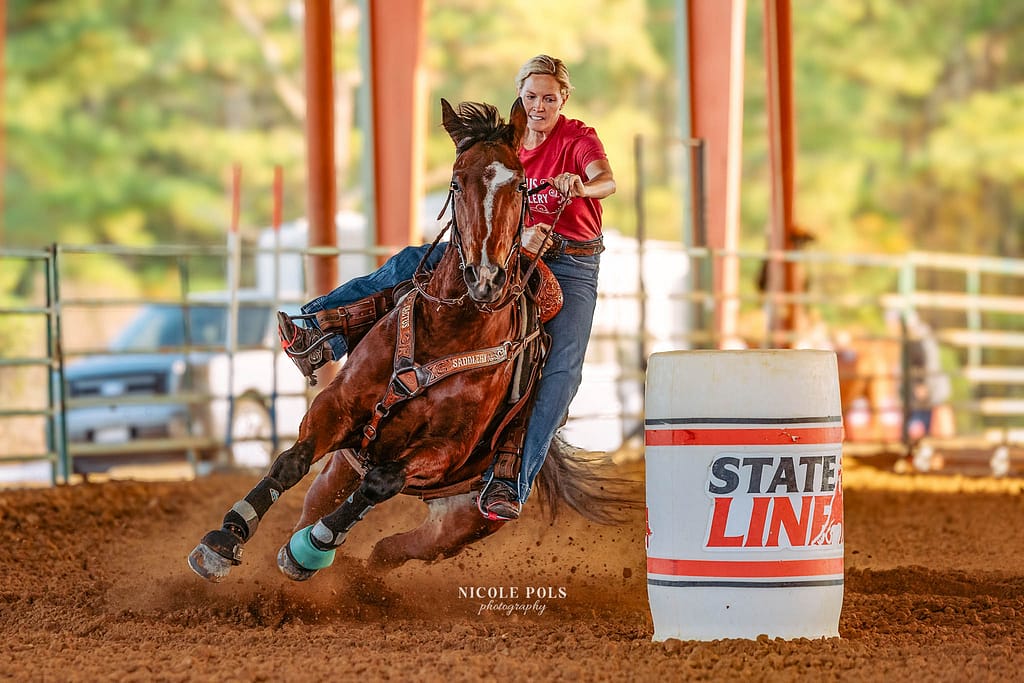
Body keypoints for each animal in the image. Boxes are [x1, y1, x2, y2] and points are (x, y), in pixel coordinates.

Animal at [190, 98, 638, 585]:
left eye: (521, 185)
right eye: (457, 182)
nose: (485, 278)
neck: (448, 332)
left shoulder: (445, 450)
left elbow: (381, 482)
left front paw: (312, 549)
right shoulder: (337, 406)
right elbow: (291, 461)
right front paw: (222, 541)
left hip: (462, 522)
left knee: (388, 549)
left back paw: (336, 561)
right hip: (342, 469)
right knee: (317, 509)